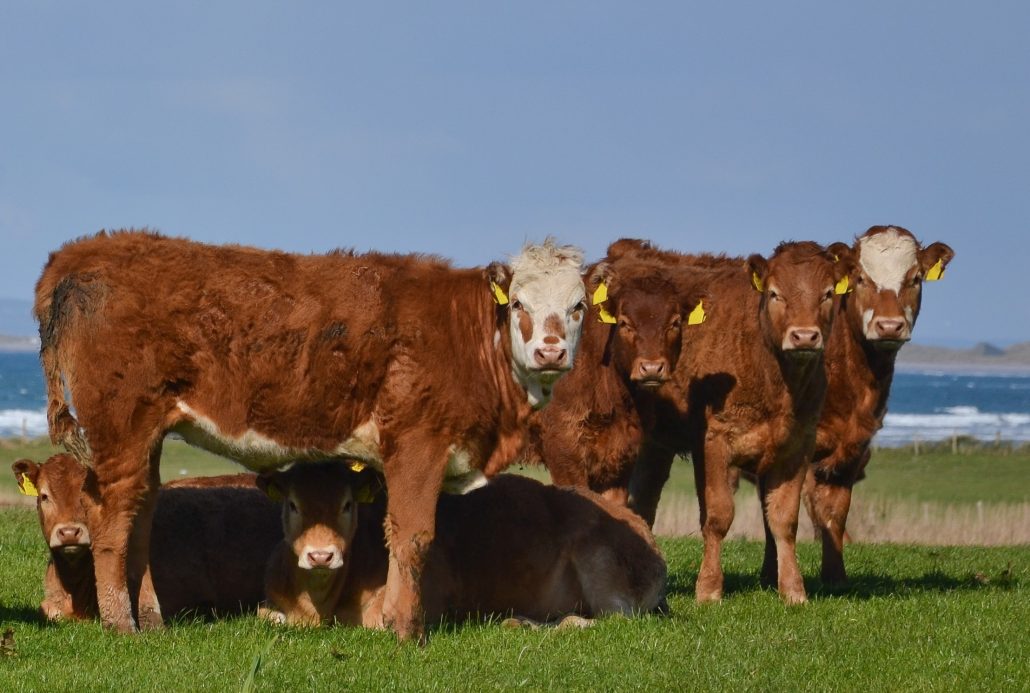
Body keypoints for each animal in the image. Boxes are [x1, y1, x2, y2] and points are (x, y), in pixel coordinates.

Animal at [257, 461, 667, 628]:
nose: (321, 555)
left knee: (605, 619)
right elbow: (266, 615)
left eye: (347, 504)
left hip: (601, 564)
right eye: (292, 504)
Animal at [805, 225, 954, 584]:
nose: (889, 326)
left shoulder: (853, 449)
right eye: (860, 278)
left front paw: (836, 578)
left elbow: (834, 512)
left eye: (915, 278)